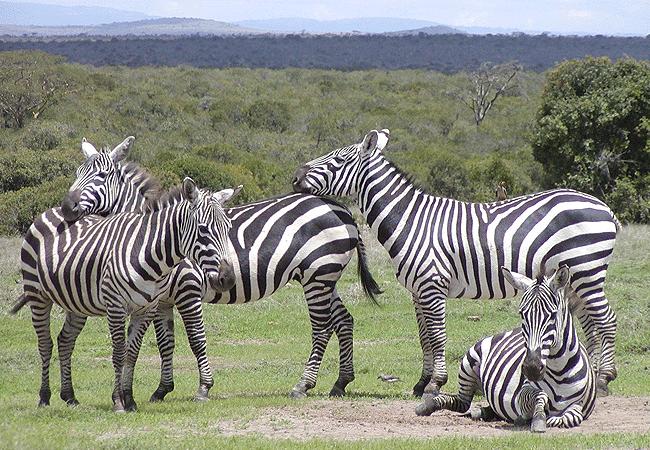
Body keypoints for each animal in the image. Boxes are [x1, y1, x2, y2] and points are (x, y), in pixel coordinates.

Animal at [12, 177, 237, 411]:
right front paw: (118, 401)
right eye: (203, 229)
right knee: (45, 343)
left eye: (228, 228)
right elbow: (119, 353)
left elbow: (132, 353)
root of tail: (50, 210)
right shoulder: (116, 305)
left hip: (76, 302)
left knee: (65, 341)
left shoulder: (147, 308)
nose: (228, 279)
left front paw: (129, 399)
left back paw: (70, 396)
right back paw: (44, 397)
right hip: (37, 295)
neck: (149, 252)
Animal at [59, 136, 381, 400]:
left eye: (101, 176)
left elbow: (196, 339)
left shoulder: (188, 289)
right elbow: (165, 343)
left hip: (318, 275)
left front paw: (203, 388)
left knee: (321, 327)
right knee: (344, 320)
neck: (156, 237)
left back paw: (302, 385)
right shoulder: (162, 300)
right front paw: (162, 390)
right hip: (325, 277)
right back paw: (341, 382)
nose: (65, 207)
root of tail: (341, 208)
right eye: (76, 174)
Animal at [292, 128, 619, 397]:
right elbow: (424, 337)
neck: (411, 220)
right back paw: (588, 376)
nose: (295, 177)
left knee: (606, 320)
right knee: (589, 323)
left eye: (337, 159)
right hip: (571, 279)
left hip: (587, 271)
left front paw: (436, 384)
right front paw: (421, 383)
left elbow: (437, 335)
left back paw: (603, 379)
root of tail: (604, 206)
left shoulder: (432, 284)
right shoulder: (417, 290)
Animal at [415, 265, 597, 432]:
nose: (531, 368)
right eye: (522, 314)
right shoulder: (521, 394)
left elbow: (569, 417)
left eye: (552, 315)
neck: (559, 372)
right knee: (461, 402)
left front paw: (545, 418)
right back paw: (427, 406)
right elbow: (540, 395)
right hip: (468, 364)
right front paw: (537, 419)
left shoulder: (579, 404)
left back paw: (482, 412)